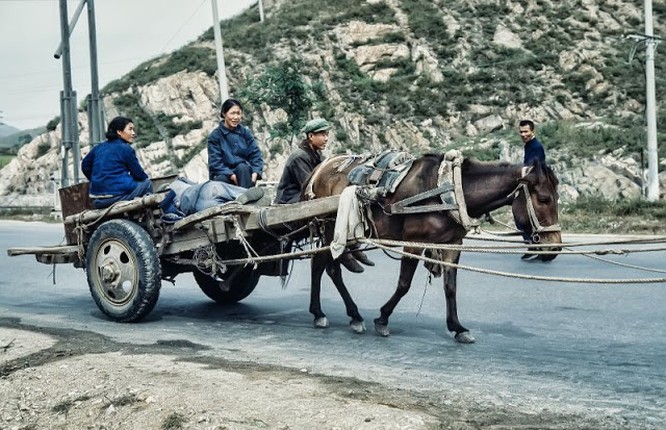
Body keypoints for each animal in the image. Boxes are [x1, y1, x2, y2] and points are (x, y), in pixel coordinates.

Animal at [302, 151, 560, 342]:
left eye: (557, 198)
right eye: (544, 199)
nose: (554, 247)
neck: (450, 190)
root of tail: (322, 167)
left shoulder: (453, 244)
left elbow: (450, 287)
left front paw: (457, 327)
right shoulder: (413, 243)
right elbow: (404, 284)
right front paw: (383, 319)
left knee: (319, 265)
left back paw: (325, 313)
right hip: (330, 228)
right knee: (330, 268)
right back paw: (347, 315)